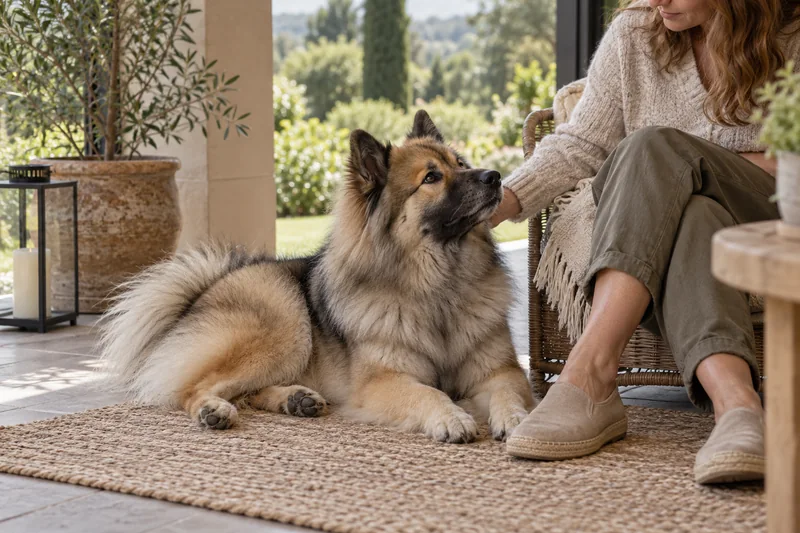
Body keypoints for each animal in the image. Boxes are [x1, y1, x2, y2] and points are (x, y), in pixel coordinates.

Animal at [100, 110, 535, 443]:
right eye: (431, 178)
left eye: (460, 164)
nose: (495, 176)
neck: (440, 285)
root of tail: (205, 288)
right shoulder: (383, 381)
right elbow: (427, 394)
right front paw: (451, 417)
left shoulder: (500, 371)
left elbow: (509, 393)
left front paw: (517, 421)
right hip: (285, 324)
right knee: (192, 388)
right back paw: (213, 409)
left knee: (247, 392)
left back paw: (296, 400)